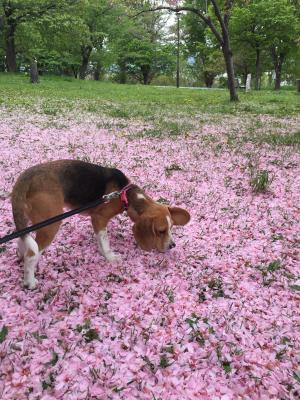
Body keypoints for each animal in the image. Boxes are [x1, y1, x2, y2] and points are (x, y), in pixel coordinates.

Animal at [11, 161, 191, 290]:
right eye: (161, 231)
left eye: (171, 228)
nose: (172, 245)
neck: (124, 193)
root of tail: (25, 177)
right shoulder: (99, 218)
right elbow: (105, 241)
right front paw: (110, 257)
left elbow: (100, 239)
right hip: (51, 224)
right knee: (32, 254)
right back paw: (30, 282)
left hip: (31, 221)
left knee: (23, 240)